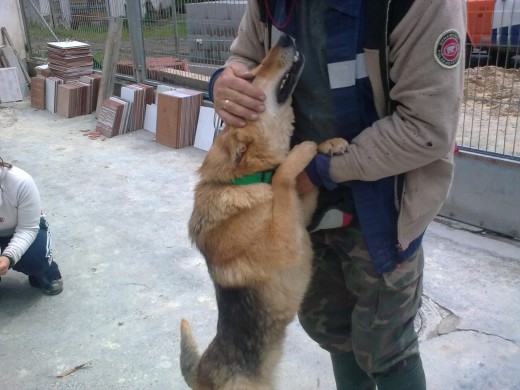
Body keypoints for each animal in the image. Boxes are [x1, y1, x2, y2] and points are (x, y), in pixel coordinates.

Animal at [181, 34, 348, 390]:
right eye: (251, 77)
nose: (285, 36)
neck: (245, 180)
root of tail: (202, 374)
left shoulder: (301, 216)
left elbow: (298, 183)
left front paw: (328, 145)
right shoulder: (288, 240)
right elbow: (285, 175)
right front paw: (303, 150)